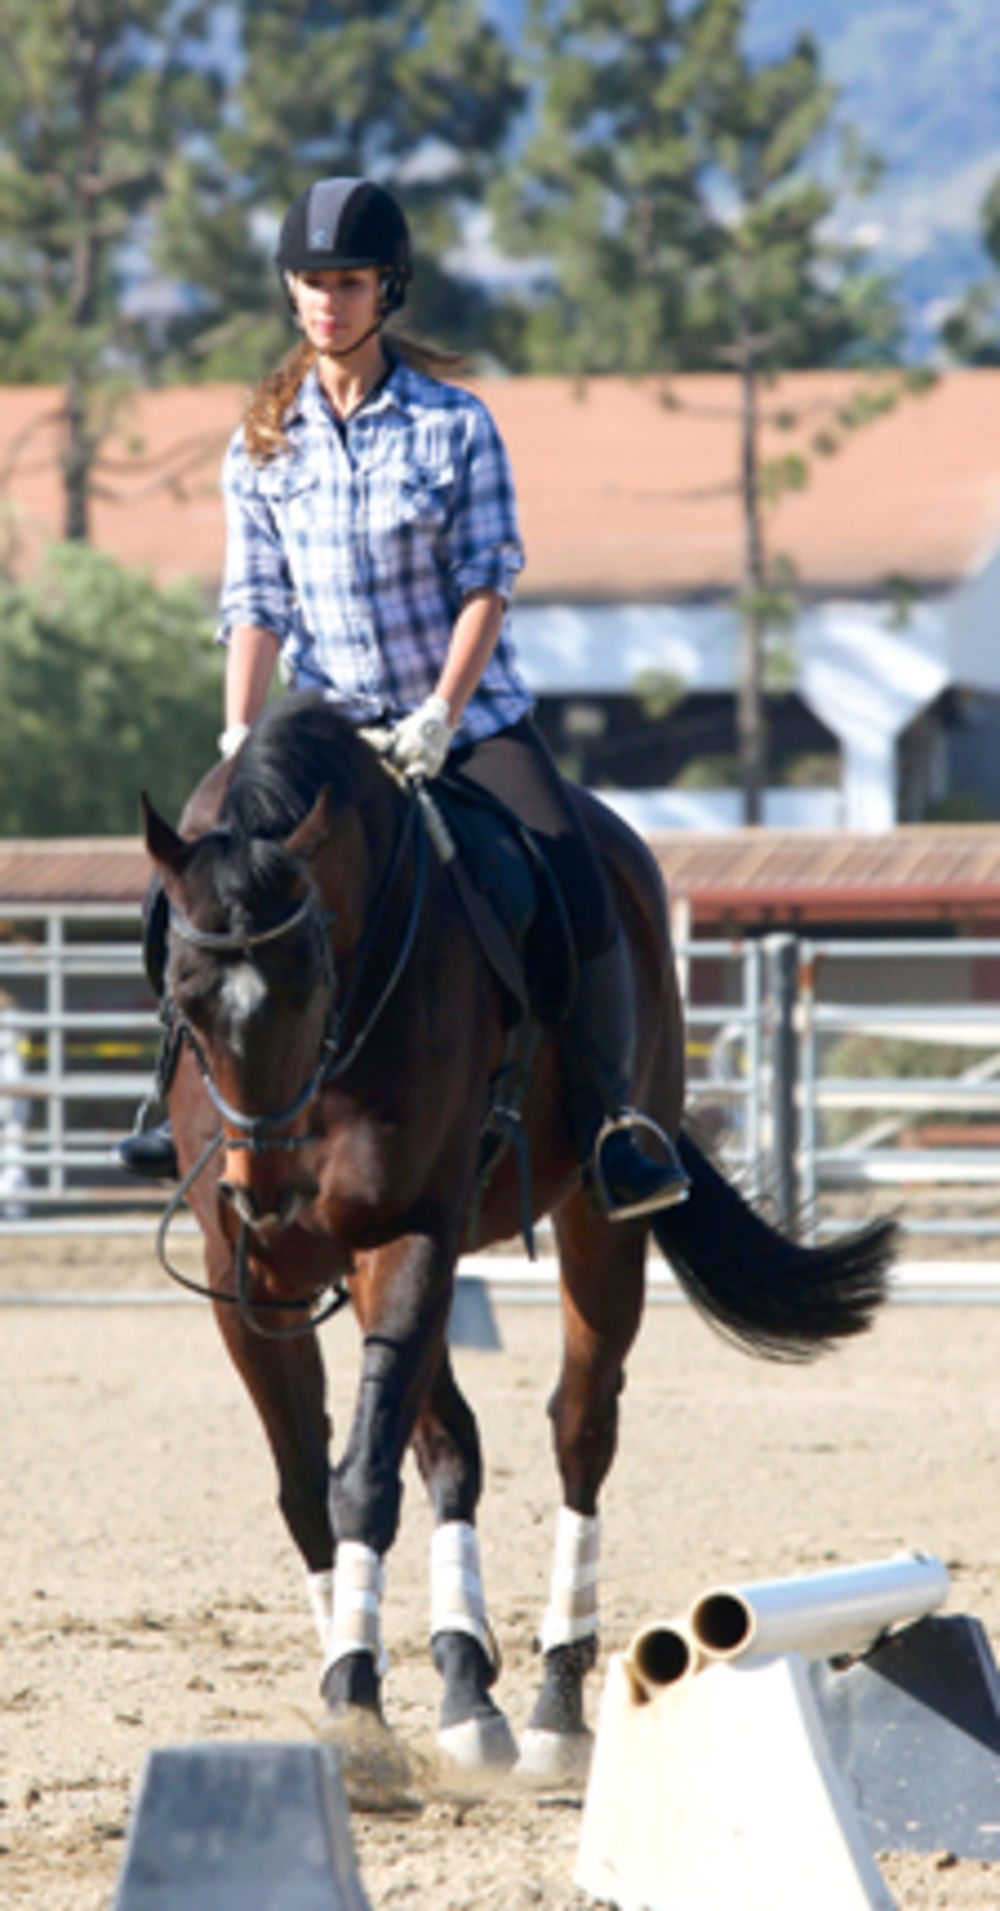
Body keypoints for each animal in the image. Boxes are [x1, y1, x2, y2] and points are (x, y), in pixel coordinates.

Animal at [142, 691, 898, 1788]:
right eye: (187, 989)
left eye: (309, 980)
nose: (266, 1190)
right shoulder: (255, 1280)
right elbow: (309, 1487)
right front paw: (349, 1688)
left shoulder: (409, 1235)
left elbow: (361, 1481)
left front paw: (358, 1711)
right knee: (451, 1447)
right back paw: (468, 1688)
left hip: (595, 1221)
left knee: (579, 1429)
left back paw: (551, 1707)